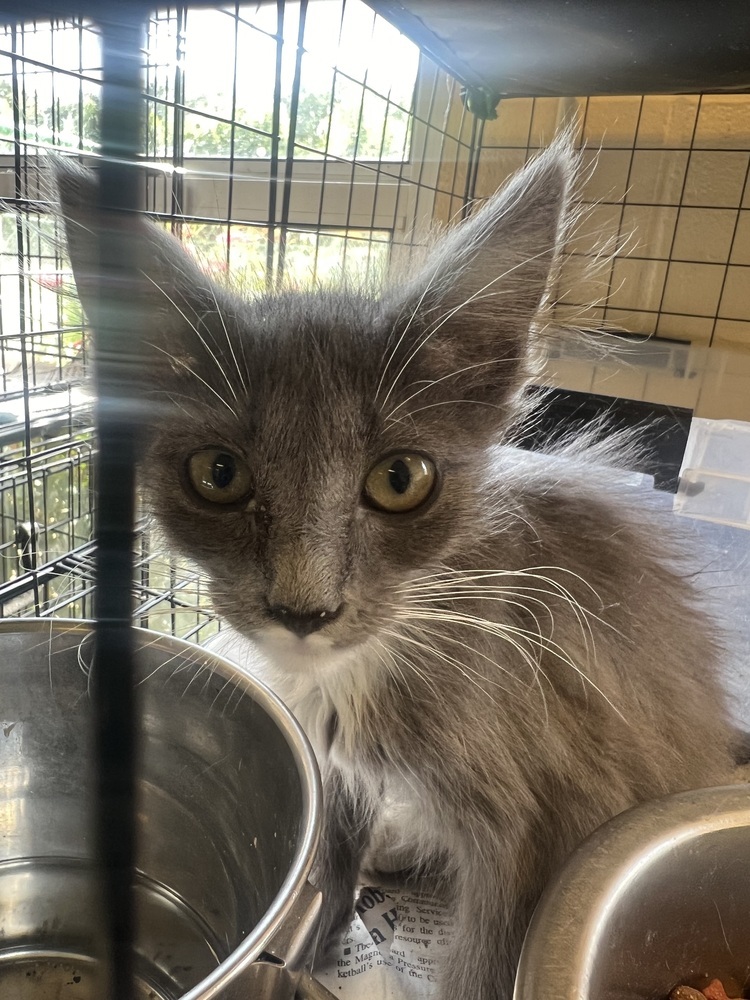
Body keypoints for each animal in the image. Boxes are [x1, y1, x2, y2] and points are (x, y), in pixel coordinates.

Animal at [58, 146, 740, 1000]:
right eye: (218, 473)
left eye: (400, 479)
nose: (304, 610)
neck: (361, 669)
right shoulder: (331, 757)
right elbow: (335, 859)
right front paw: (314, 948)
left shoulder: (526, 824)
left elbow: (486, 962)